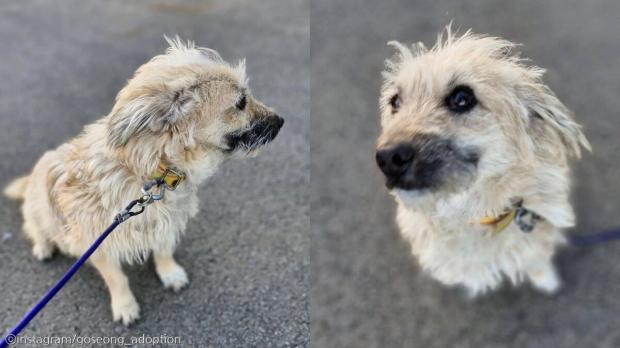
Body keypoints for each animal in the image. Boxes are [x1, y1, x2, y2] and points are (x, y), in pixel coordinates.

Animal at [1, 36, 284, 324]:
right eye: (241, 102)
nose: (281, 121)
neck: (153, 174)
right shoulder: (98, 244)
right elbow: (116, 279)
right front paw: (125, 306)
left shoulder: (165, 222)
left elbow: (164, 251)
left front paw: (170, 273)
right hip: (39, 210)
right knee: (35, 228)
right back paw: (43, 246)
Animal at [376, 27, 588, 296]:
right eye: (395, 102)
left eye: (462, 97)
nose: (387, 158)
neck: (477, 212)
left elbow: (535, 258)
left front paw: (546, 279)